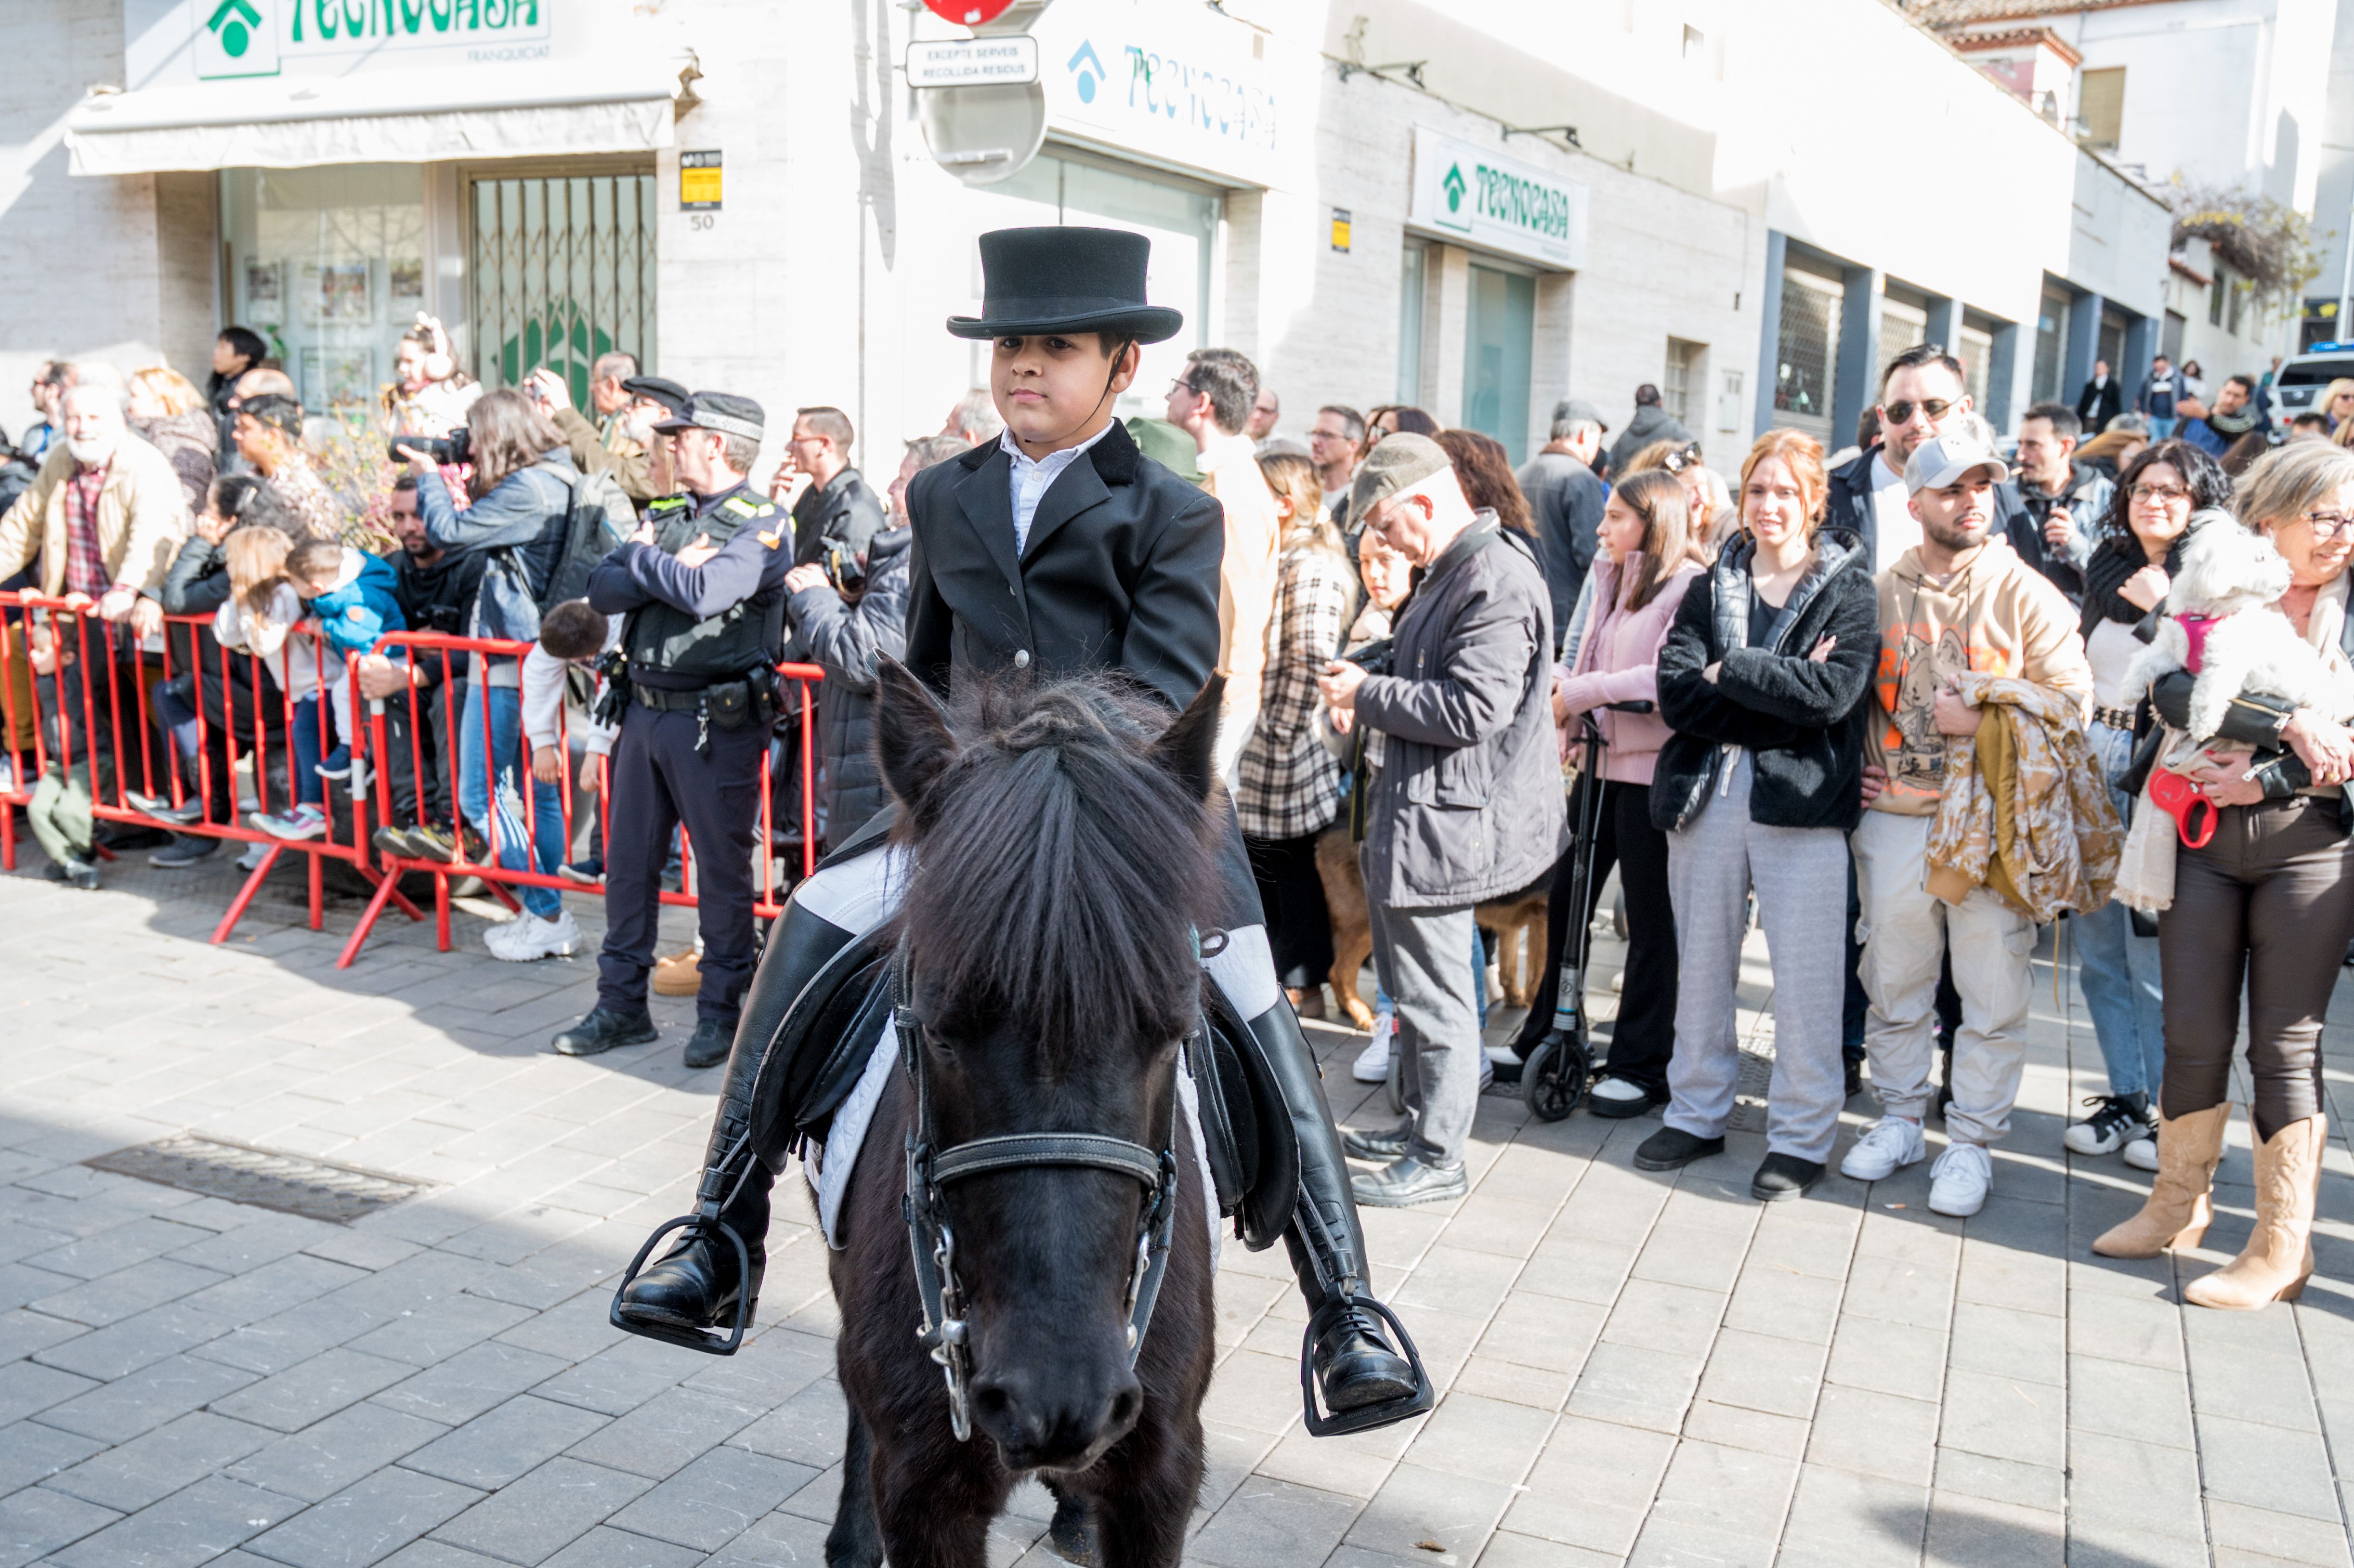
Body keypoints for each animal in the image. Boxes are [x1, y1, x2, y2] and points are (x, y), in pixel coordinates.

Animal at [2128, 515, 2354, 744]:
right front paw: (2129, 690)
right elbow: (2143, 661)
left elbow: (2207, 696)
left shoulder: (2224, 663)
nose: (2290, 574)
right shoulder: (2173, 649)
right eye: (2261, 558)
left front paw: (2202, 727)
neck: (2207, 613)